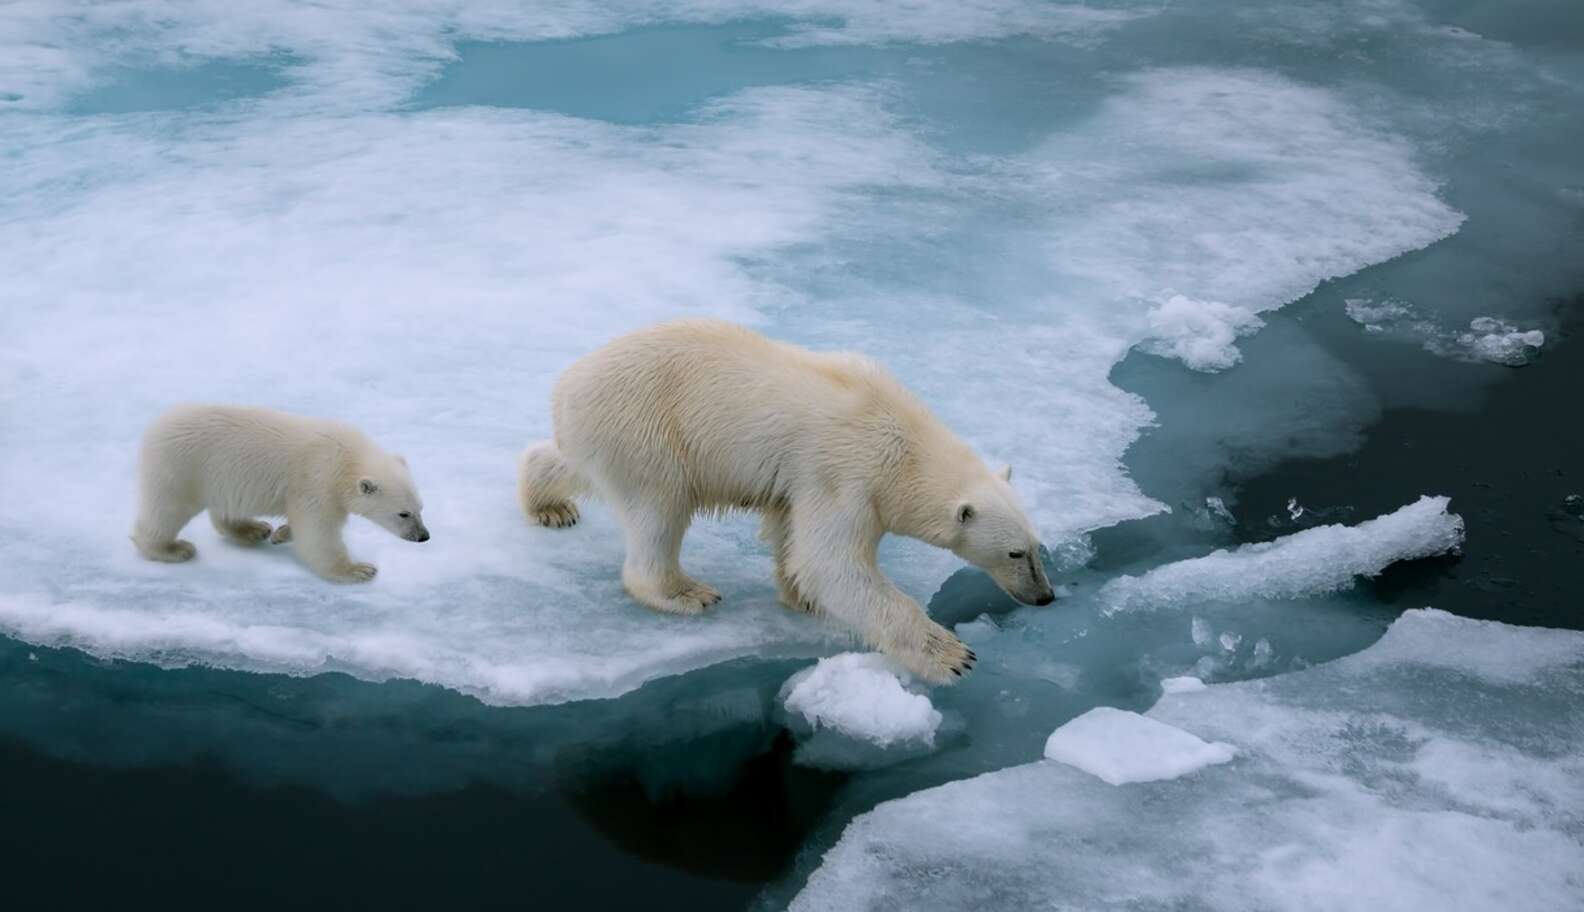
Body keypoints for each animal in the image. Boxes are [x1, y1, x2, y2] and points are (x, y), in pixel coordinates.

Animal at [519, 319, 1058, 684]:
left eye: (1039, 546)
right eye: (1015, 553)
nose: (1046, 597)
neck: (903, 439)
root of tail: (565, 388)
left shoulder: (805, 480)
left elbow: (792, 534)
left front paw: (800, 596)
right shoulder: (848, 472)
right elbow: (831, 562)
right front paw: (952, 655)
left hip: (603, 435)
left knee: (574, 464)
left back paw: (548, 503)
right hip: (647, 431)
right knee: (659, 509)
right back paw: (685, 592)